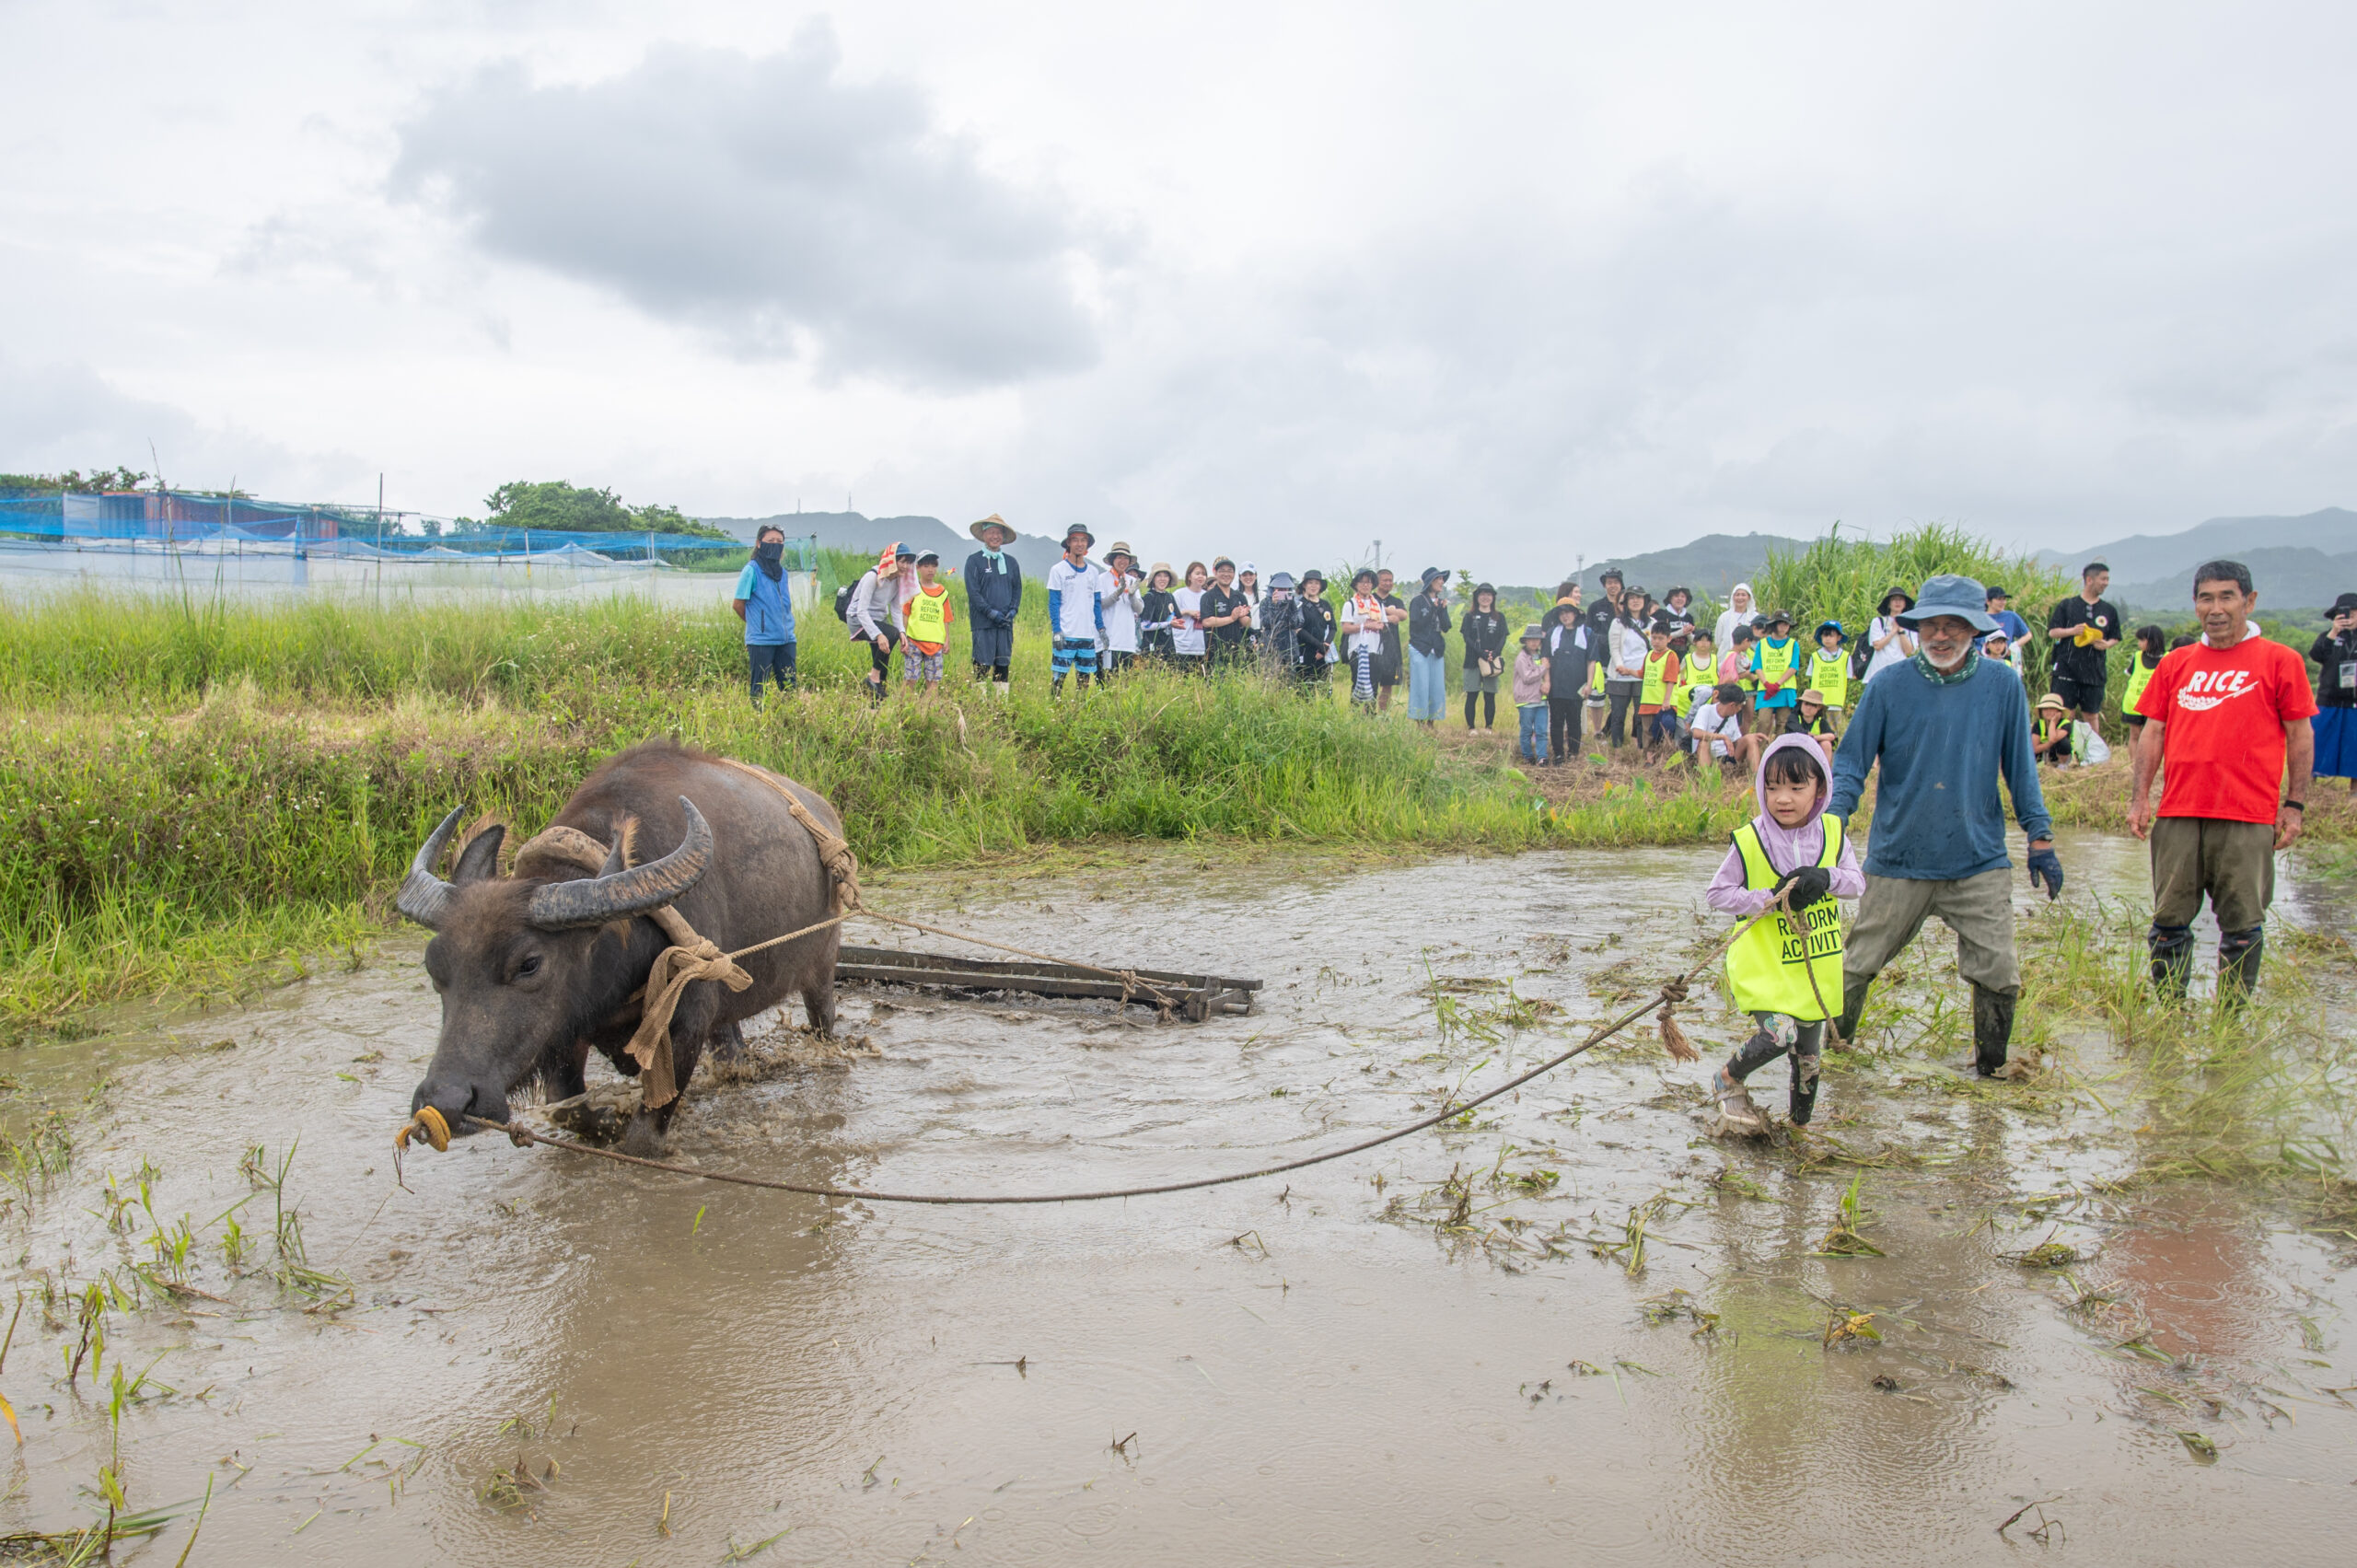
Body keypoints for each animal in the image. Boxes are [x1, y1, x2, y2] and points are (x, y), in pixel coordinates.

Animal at [398, 740, 848, 1155]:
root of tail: (826, 813)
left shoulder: (685, 1027)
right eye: (434, 967)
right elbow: (568, 1109)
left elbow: (643, 1138)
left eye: (528, 964)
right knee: (730, 1042)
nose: (447, 1102)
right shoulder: (566, 1032)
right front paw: (605, 1120)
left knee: (822, 1019)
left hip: (821, 969)